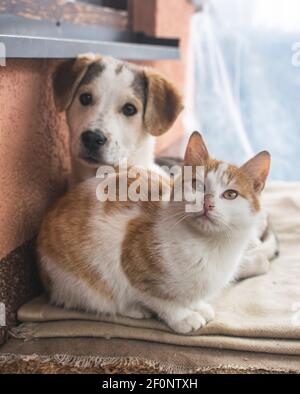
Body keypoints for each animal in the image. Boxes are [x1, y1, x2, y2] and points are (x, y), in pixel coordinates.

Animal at [37, 132, 272, 332]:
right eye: (197, 185)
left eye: (231, 194)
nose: (207, 203)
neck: (208, 246)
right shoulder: (130, 263)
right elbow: (160, 299)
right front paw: (183, 316)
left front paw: (198, 305)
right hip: (78, 280)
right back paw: (134, 309)